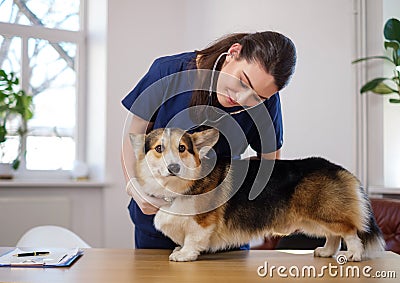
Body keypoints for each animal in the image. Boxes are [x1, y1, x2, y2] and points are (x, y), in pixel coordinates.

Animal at [130, 128, 386, 262]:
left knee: (349, 231)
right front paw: (178, 250)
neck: (179, 186)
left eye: (182, 148)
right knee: (333, 235)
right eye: (159, 148)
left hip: (325, 213)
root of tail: (339, 169)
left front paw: (184, 255)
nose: (174, 167)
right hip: (314, 218)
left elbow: (193, 240)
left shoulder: (201, 223)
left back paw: (354, 254)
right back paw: (325, 252)